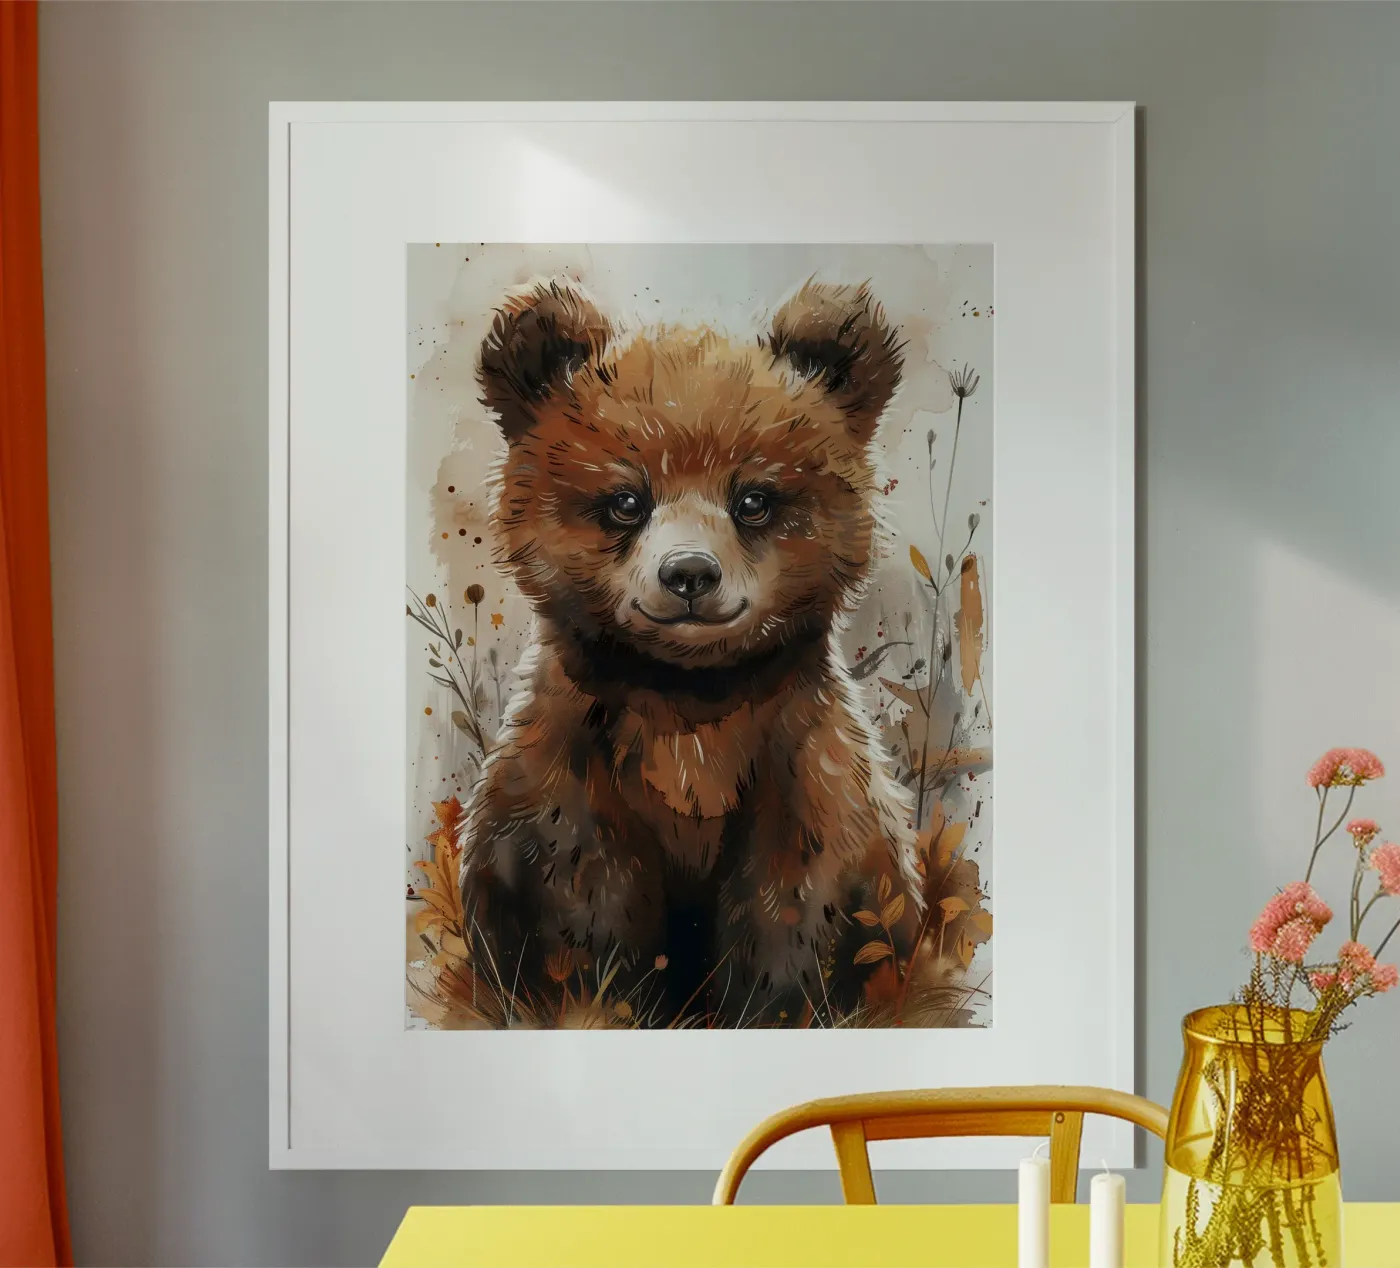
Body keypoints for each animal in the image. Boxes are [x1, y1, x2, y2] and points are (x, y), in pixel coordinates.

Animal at [457, 277, 923, 1028]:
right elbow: (583, 903)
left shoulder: (796, 764)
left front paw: (771, 1000)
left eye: (754, 498)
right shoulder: (576, 771)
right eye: (626, 499)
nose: (689, 574)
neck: (688, 700)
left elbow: (797, 898)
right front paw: (606, 997)